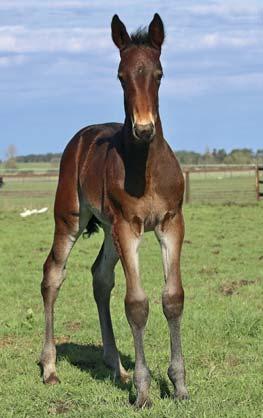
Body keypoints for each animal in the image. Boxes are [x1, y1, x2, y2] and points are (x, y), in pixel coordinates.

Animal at [40, 13, 189, 408]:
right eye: (121, 76)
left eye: (159, 73)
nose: (144, 129)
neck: (146, 168)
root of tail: (83, 136)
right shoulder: (128, 227)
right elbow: (136, 303)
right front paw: (143, 391)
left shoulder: (171, 223)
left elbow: (173, 298)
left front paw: (179, 386)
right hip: (71, 218)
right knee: (52, 275)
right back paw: (50, 367)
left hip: (107, 229)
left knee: (100, 276)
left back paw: (115, 365)